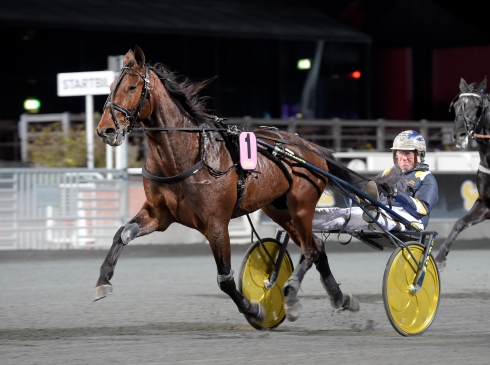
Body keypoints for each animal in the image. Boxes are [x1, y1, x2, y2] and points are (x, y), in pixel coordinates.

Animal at [94, 46, 362, 324]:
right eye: (111, 86)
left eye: (132, 87)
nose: (106, 130)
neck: (187, 156)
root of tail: (309, 147)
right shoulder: (160, 215)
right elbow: (122, 233)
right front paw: (103, 281)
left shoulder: (215, 223)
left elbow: (225, 278)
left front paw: (255, 309)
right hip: (279, 210)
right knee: (317, 247)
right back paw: (338, 298)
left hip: (301, 206)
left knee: (310, 249)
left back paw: (292, 294)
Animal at [436, 77, 490, 270]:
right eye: (457, 105)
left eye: (477, 106)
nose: (459, 135)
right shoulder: (485, 203)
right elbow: (460, 222)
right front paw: (440, 257)